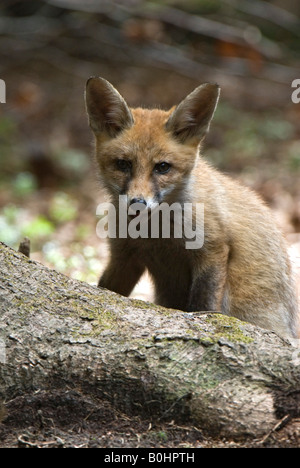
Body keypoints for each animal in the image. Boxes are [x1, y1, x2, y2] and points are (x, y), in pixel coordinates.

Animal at [85, 78, 298, 338]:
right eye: (123, 165)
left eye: (162, 167)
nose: (138, 203)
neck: (155, 234)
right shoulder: (124, 257)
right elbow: (105, 289)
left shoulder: (213, 249)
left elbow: (202, 306)